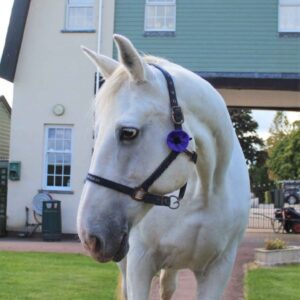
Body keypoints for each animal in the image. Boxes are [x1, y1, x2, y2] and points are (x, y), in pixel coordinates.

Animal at [76, 34, 250, 298]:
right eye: (96, 132)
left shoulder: (219, 269)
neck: (204, 193)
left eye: (128, 132)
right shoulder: (139, 264)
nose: (90, 237)